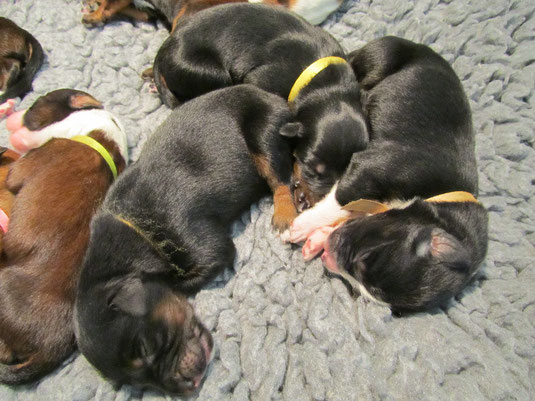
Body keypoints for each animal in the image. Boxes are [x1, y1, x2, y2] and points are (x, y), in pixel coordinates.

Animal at [74, 84, 298, 394]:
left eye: (146, 348)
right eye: (137, 383)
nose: (187, 387)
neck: (134, 229)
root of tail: (274, 98)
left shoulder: (205, 245)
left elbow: (184, 280)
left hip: (264, 130)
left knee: (280, 177)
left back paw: (285, 215)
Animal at [153, 3, 368, 208]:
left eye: (344, 173)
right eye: (310, 167)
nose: (313, 202)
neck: (327, 87)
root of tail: (163, 50)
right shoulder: (262, 82)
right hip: (207, 72)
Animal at [288, 36, 490, 312]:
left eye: (358, 290)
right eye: (364, 258)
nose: (329, 258)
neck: (443, 197)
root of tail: (418, 45)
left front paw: (316, 239)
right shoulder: (371, 167)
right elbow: (339, 200)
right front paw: (301, 226)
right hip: (380, 57)